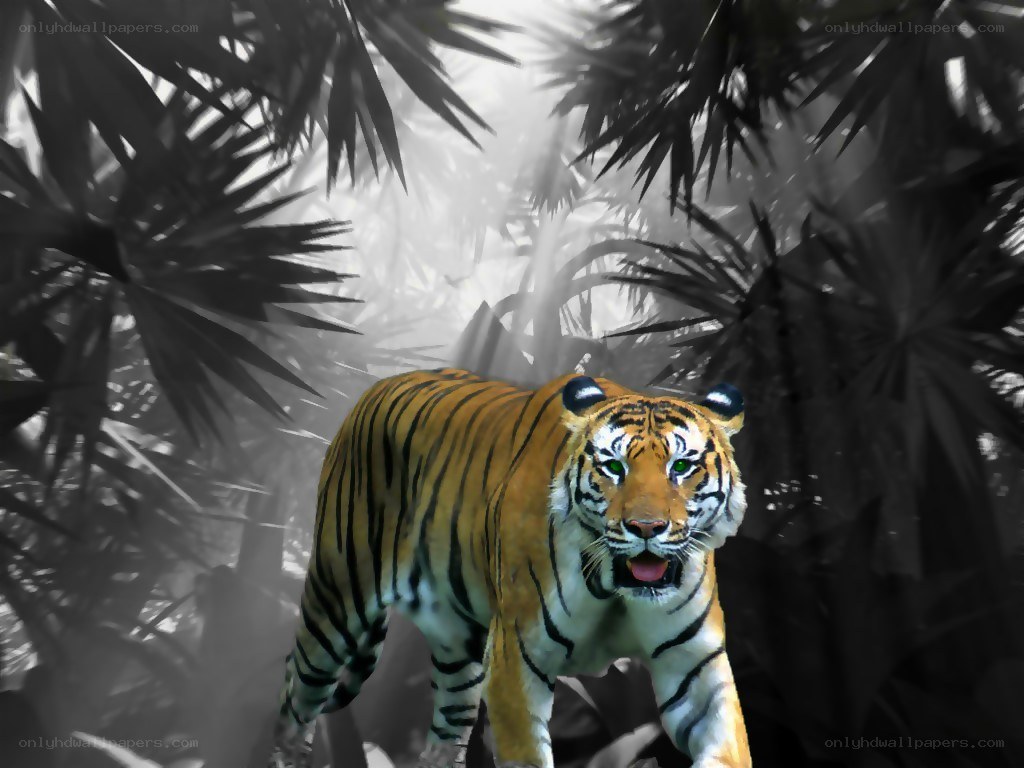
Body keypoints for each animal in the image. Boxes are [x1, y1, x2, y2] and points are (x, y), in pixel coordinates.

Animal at [268, 368, 752, 768]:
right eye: (614, 467)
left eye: (681, 466)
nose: (646, 527)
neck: (615, 587)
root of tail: (377, 385)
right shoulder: (517, 658)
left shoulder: (695, 665)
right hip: (336, 603)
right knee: (295, 699)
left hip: (457, 649)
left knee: (444, 734)